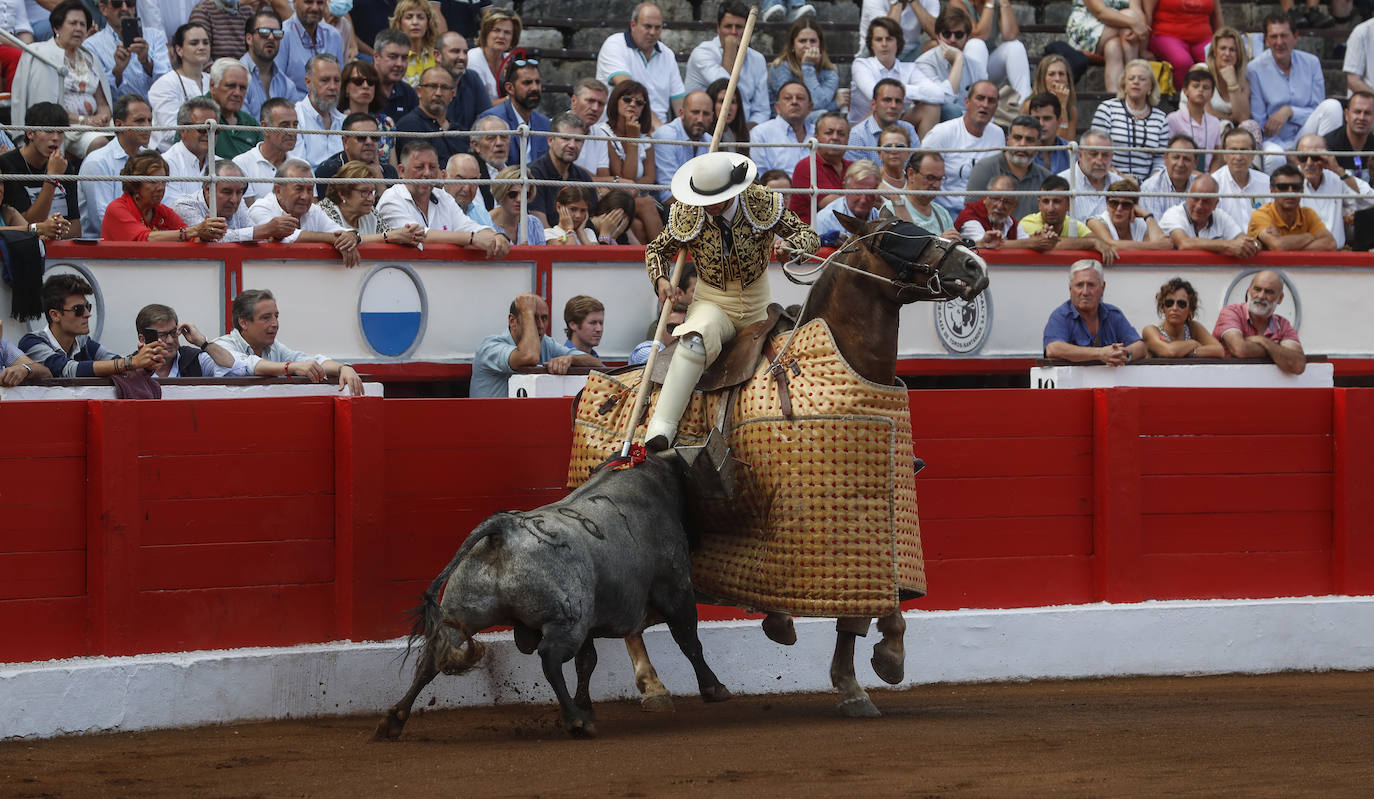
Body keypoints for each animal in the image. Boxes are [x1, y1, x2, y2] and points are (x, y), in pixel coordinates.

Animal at [370, 453, 736, 741]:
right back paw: (575, 721)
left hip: (465, 611)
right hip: (566, 620)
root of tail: (505, 529)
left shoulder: (592, 621)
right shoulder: (677, 591)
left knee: (433, 657)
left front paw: (586, 703)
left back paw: (393, 720)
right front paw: (714, 688)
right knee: (549, 657)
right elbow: (689, 641)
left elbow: (587, 662)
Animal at [615, 212, 989, 719]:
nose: (974, 266)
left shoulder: (878, 511)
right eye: (894, 240)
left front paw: (874, 669)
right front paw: (856, 675)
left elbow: (874, 600)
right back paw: (653, 686)